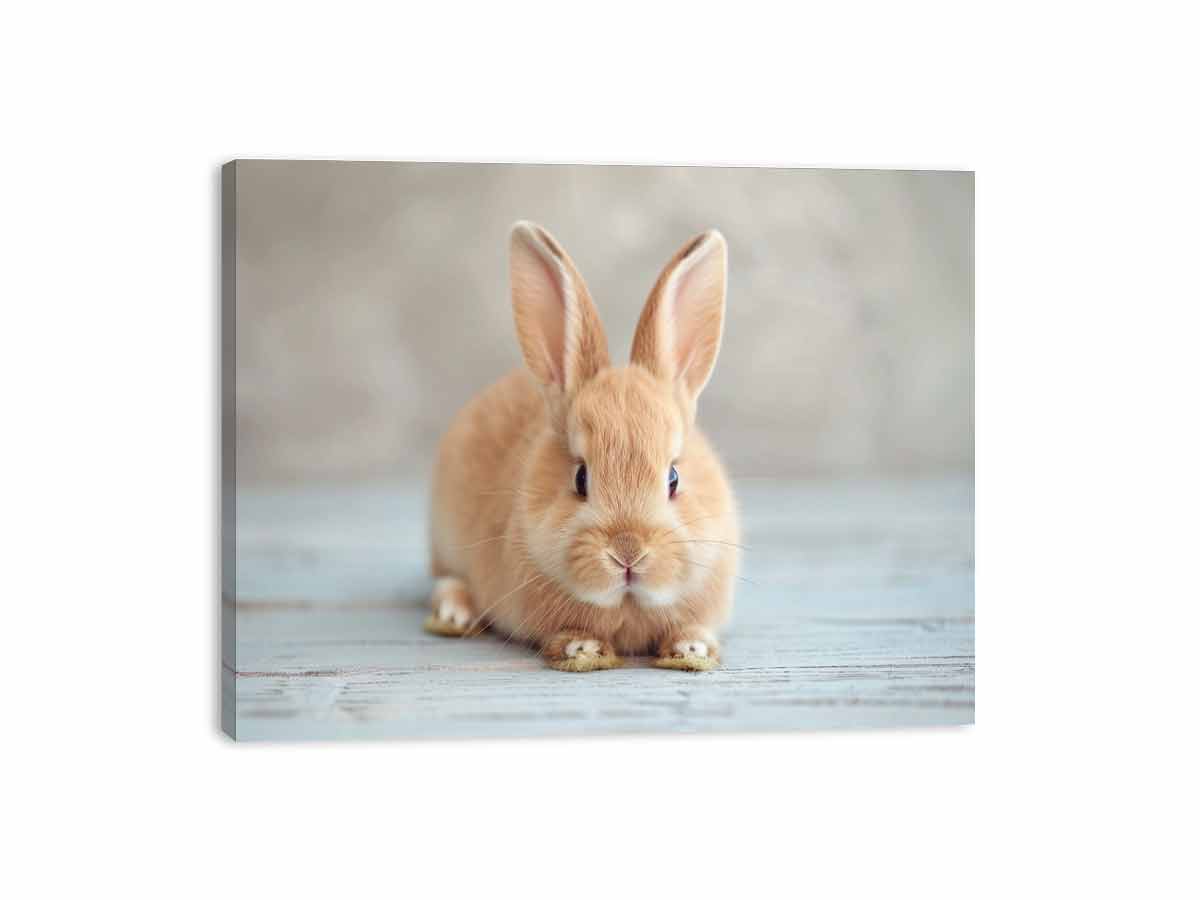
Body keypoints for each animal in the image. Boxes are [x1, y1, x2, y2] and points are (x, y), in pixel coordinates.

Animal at [425, 221, 739, 672]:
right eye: (580, 477)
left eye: (674, 478)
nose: (628, 553)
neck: (628, 608)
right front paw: (583, 649)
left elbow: (690, 628)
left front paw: (691, 649)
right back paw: (454, 613)